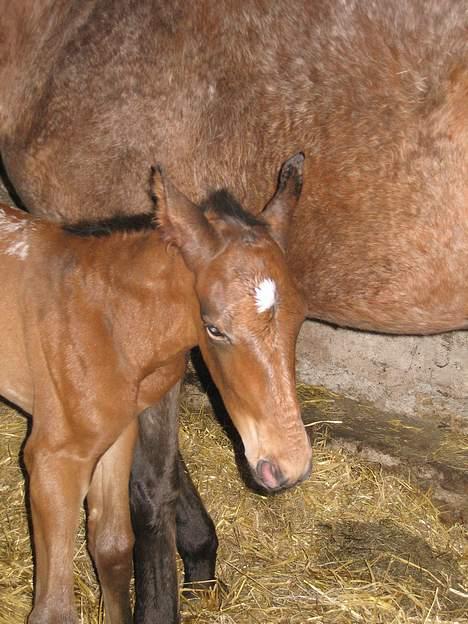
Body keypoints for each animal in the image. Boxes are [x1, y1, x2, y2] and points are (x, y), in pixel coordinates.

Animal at [0, 154, 314, 620]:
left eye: (302, 316)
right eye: (214, 328)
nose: (287, 466)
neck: (104, 318)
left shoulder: (120, 434)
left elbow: (112, 548)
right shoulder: (54, 461)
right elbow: (52, 610)